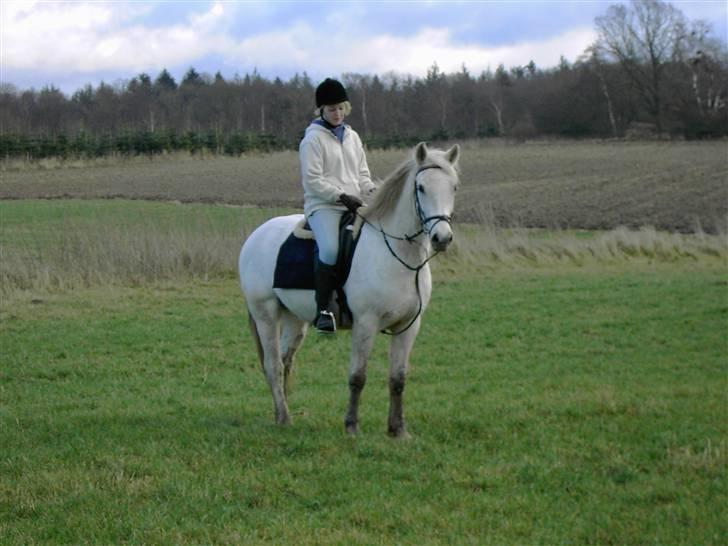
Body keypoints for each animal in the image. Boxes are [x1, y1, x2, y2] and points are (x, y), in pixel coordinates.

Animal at [239, 140, 458, 434]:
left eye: (453, 186)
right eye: (421, 188)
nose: (442, 238)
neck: (396, 253)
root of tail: (256, 235)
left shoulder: (408, 326)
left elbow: (398, 378)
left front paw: (397, 430)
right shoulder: (365, 324)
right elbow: (358, 376)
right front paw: (352, 426)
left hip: (295, 320)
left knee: (285, 361)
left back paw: (281, 414)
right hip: (266, 315)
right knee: (273, 365)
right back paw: (284, 418)